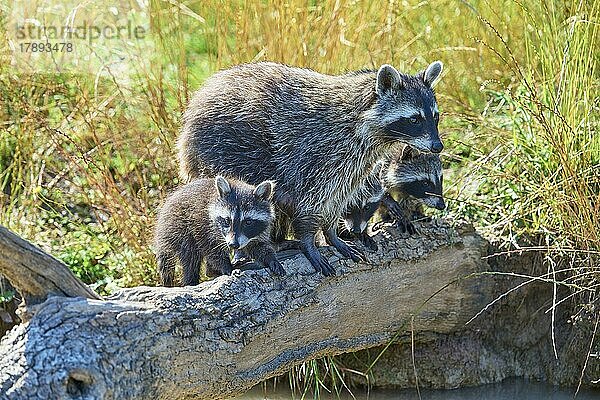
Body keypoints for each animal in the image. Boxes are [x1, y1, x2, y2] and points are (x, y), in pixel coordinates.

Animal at [155, 177, 286, 286]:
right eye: (227, 220)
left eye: (248, 222)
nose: (233, 244)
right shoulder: (203, 225)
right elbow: (212, 250)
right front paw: (226, 267)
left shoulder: (255, 233)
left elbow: (258, 246)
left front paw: (271, 259)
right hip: (178, 228)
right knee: (190, 255)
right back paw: (191, 280)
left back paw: (211, 271)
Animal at [176, 61, 442, 276]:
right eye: (414, 119)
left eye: (435, 117)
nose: (438, 146)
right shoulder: (315, 155)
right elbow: (309, 202)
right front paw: (309, 242)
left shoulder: (353, 165)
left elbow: (337, 198)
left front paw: (332, 234)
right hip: (218, 155)